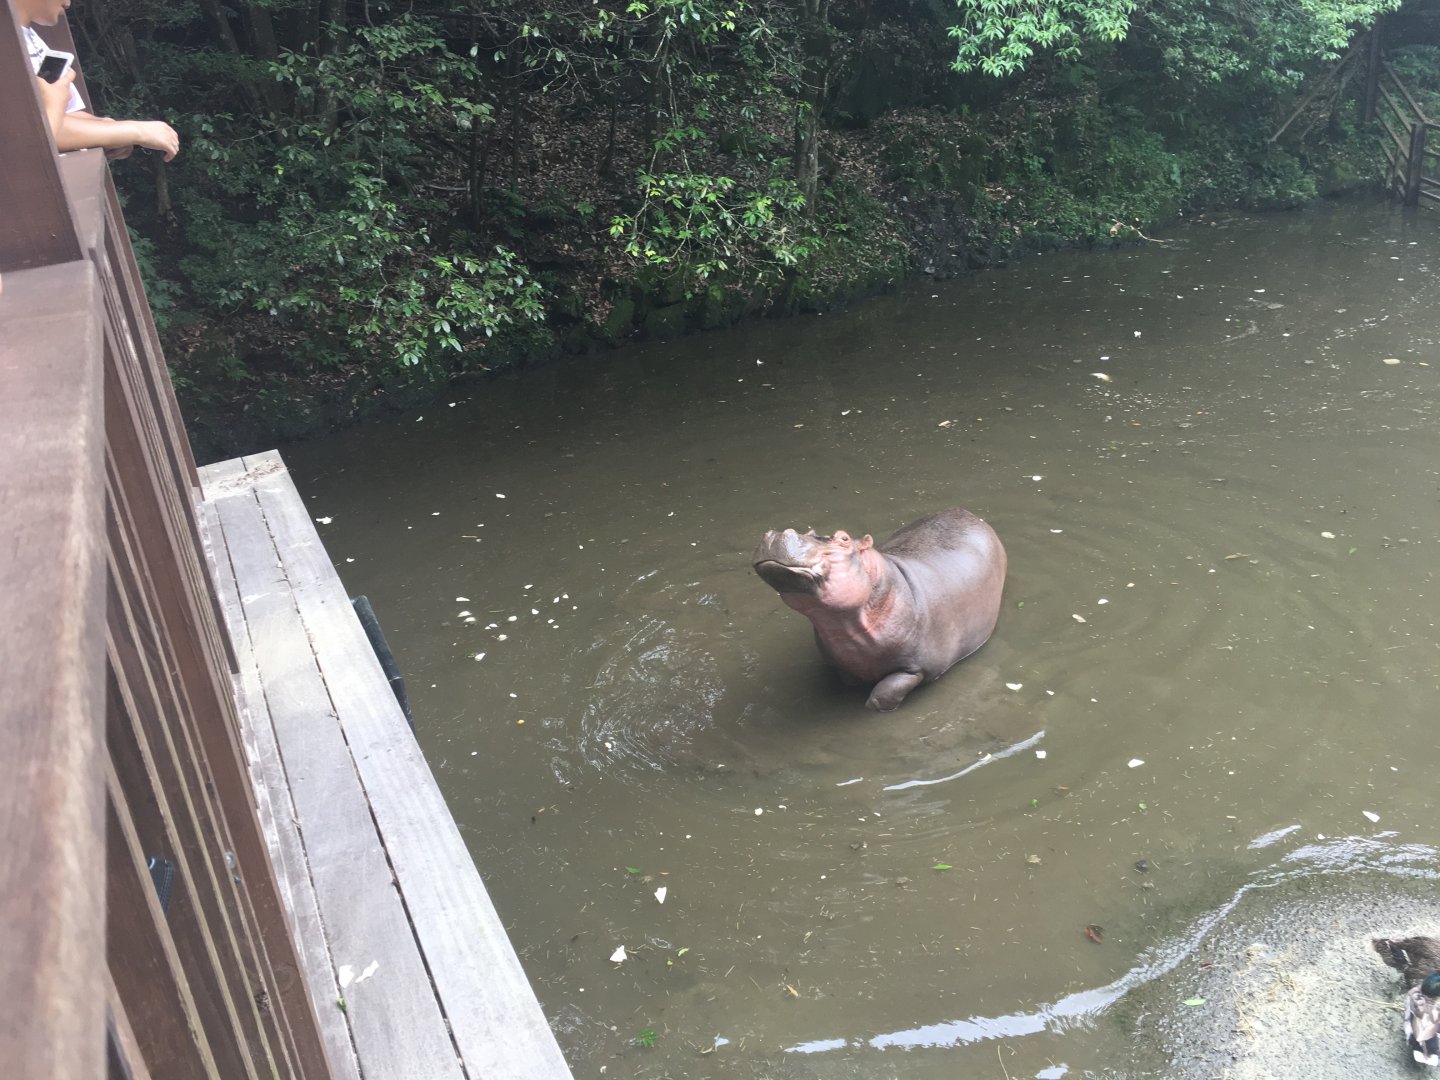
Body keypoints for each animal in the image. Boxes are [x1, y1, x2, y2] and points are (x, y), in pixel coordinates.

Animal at [752, 508, 1006, 711]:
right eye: (809, 530)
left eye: (844, 538)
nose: (777, 533)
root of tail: (966, 512)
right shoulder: (841, 663)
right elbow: (849, 680)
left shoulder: (915, 668)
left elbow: (884, 693)